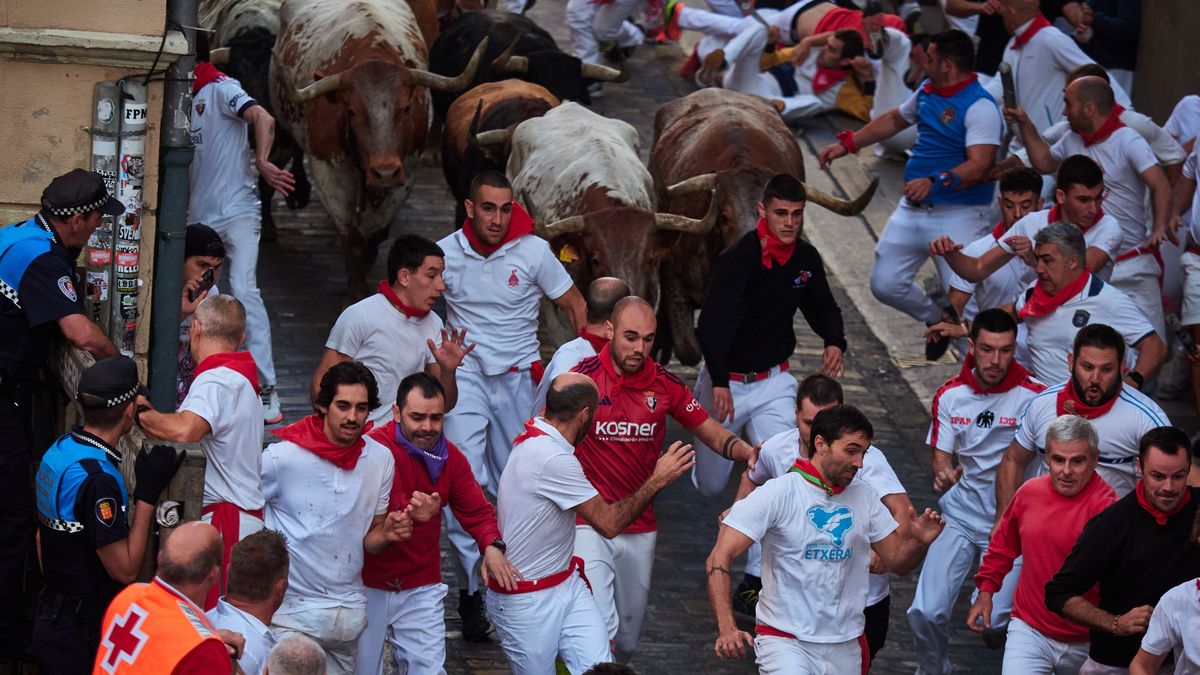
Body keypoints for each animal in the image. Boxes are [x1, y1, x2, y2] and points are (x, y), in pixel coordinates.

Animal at [273, 0, 492, 294]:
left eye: (407, 108)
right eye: (351, 111)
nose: (385, 172)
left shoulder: (406, 171)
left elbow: (378, 230)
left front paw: (368, 260)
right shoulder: (327, 171)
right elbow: (350, 236)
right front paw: (355, 289)